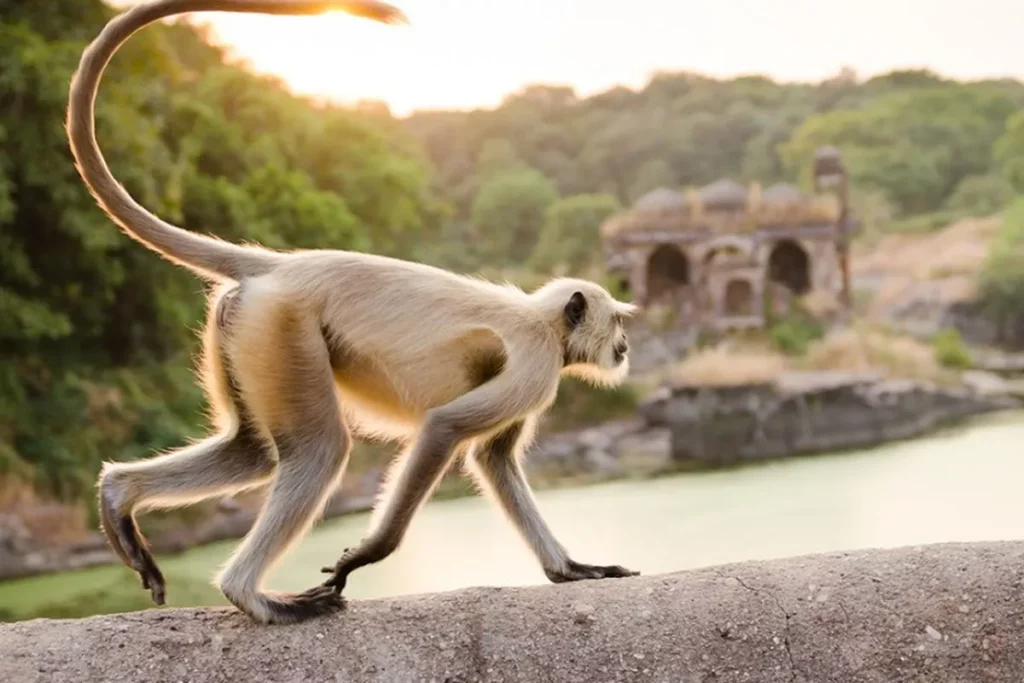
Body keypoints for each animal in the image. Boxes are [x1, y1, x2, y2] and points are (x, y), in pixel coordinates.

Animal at [67, 0, 640, 625]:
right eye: (618, 322)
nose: (626, 347)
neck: (545, 321)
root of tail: (281, 268)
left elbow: (494, 460)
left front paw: (569, 569)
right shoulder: (537, 365)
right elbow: (445, 429)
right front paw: (366, 555)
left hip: (248, 330)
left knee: (252, 452)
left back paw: (118, 496)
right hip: (283, 328)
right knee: (320, 449)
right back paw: (251, 595)